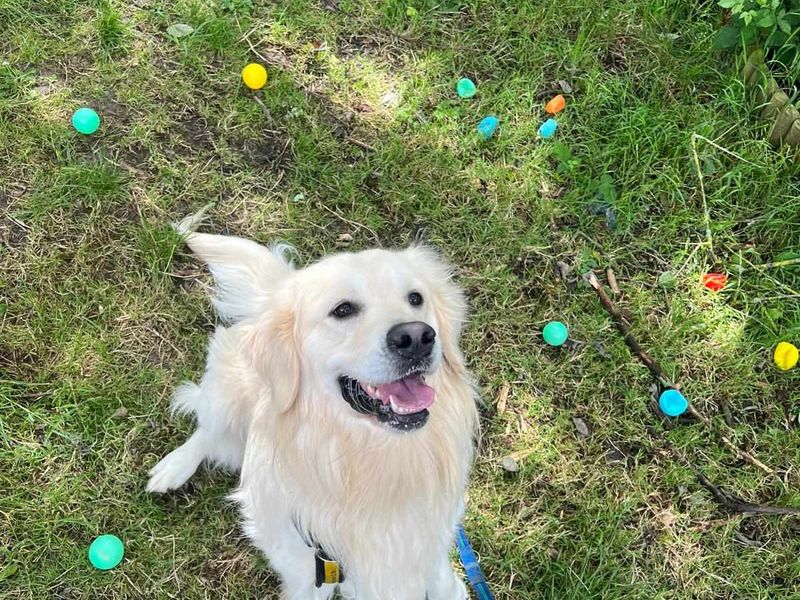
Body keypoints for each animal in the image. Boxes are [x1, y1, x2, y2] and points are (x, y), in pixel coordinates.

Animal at [147, 216, 478, 600]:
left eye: (415, 298)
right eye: (343, 310)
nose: (416, 338)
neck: (372, 460)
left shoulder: (434, 555)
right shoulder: (310, 569)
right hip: (227, 391)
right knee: (207, 429)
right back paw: (173, 468)